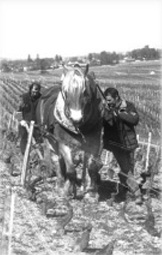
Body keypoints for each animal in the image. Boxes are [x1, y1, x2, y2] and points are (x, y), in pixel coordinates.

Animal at [35, 64, 104, 199]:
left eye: (85, 92)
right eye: (65, 92)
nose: (76, 118)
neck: (81, 128)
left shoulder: (94, 144)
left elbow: (91, 167)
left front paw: (91, 192)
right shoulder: (63, 143)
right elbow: (71, 170)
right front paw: (68, 190)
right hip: (49, 139)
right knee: (57, 160)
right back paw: (60, 184)